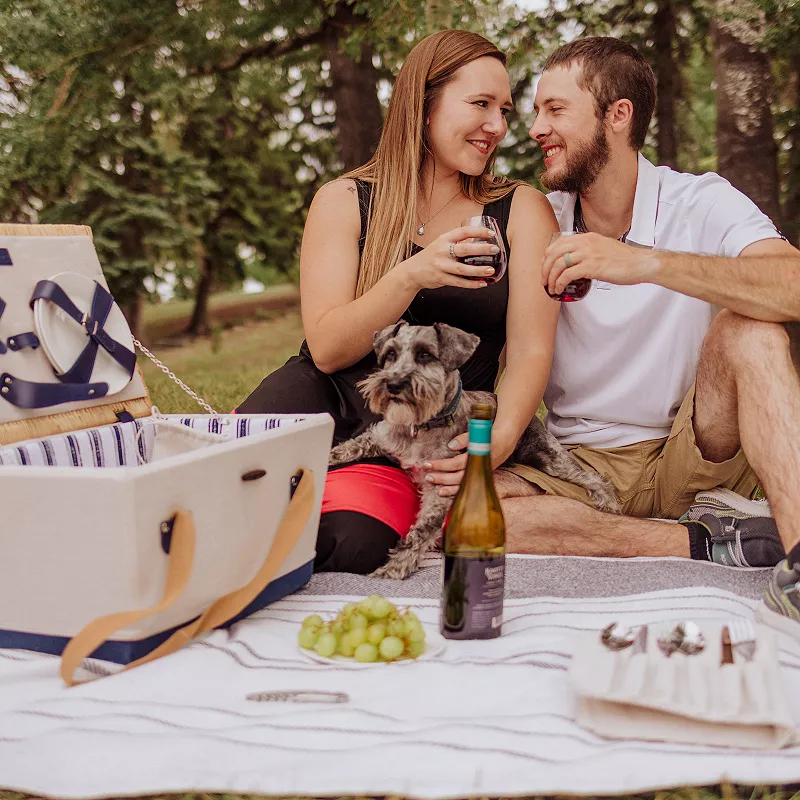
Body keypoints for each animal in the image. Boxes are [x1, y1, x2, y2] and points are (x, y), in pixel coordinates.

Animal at [326, 322, 620, 580]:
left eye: (425, 355)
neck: (422, 428)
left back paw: (608, 501)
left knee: (589, 475)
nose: (393, 384)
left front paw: (394, 568)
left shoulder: (441, 488)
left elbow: (421, 531)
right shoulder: (377, 438)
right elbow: (345, 449)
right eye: (390, 354)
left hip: (550, 457)